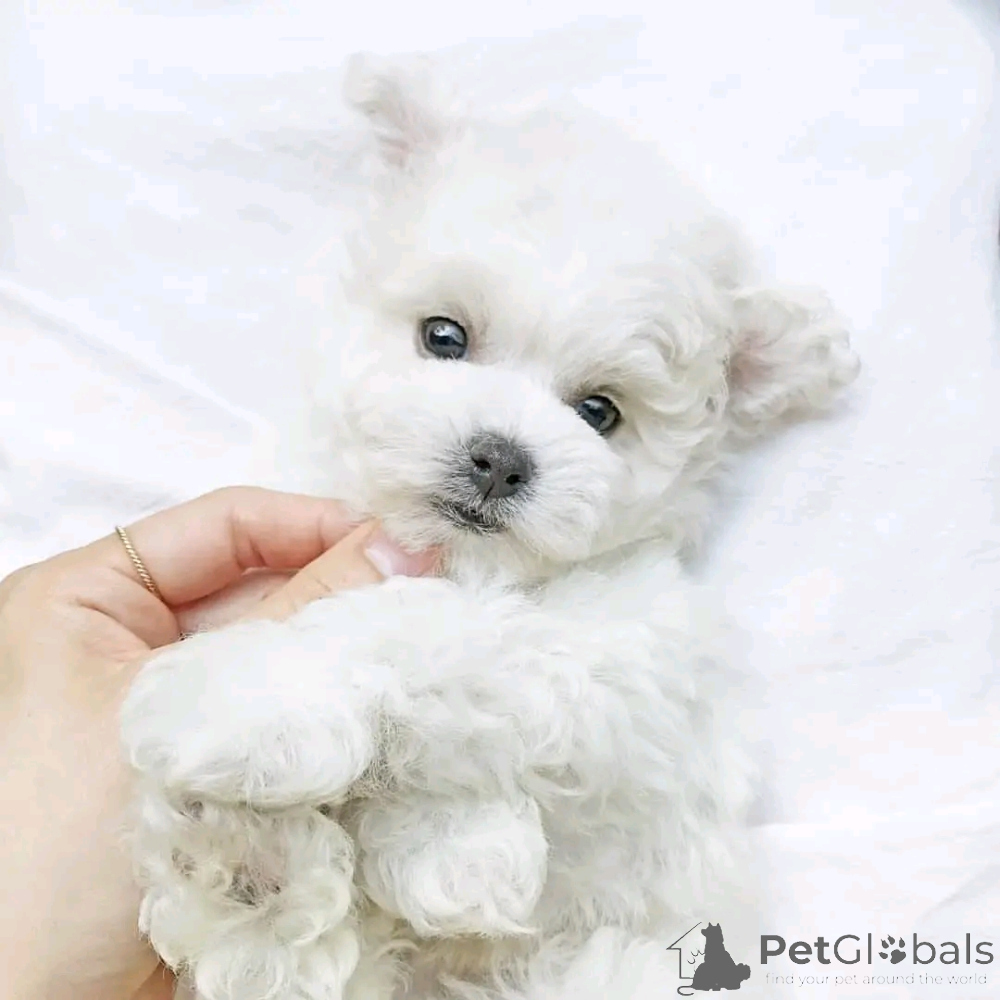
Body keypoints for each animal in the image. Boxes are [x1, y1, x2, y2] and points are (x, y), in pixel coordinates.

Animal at [120, 52, 859, 1000]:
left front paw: (261, 710)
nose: (501, 459)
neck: (470, 560)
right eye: (445, 336)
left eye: (600, 413)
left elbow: (430, 636)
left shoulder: (633, 652)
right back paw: (248, 871)